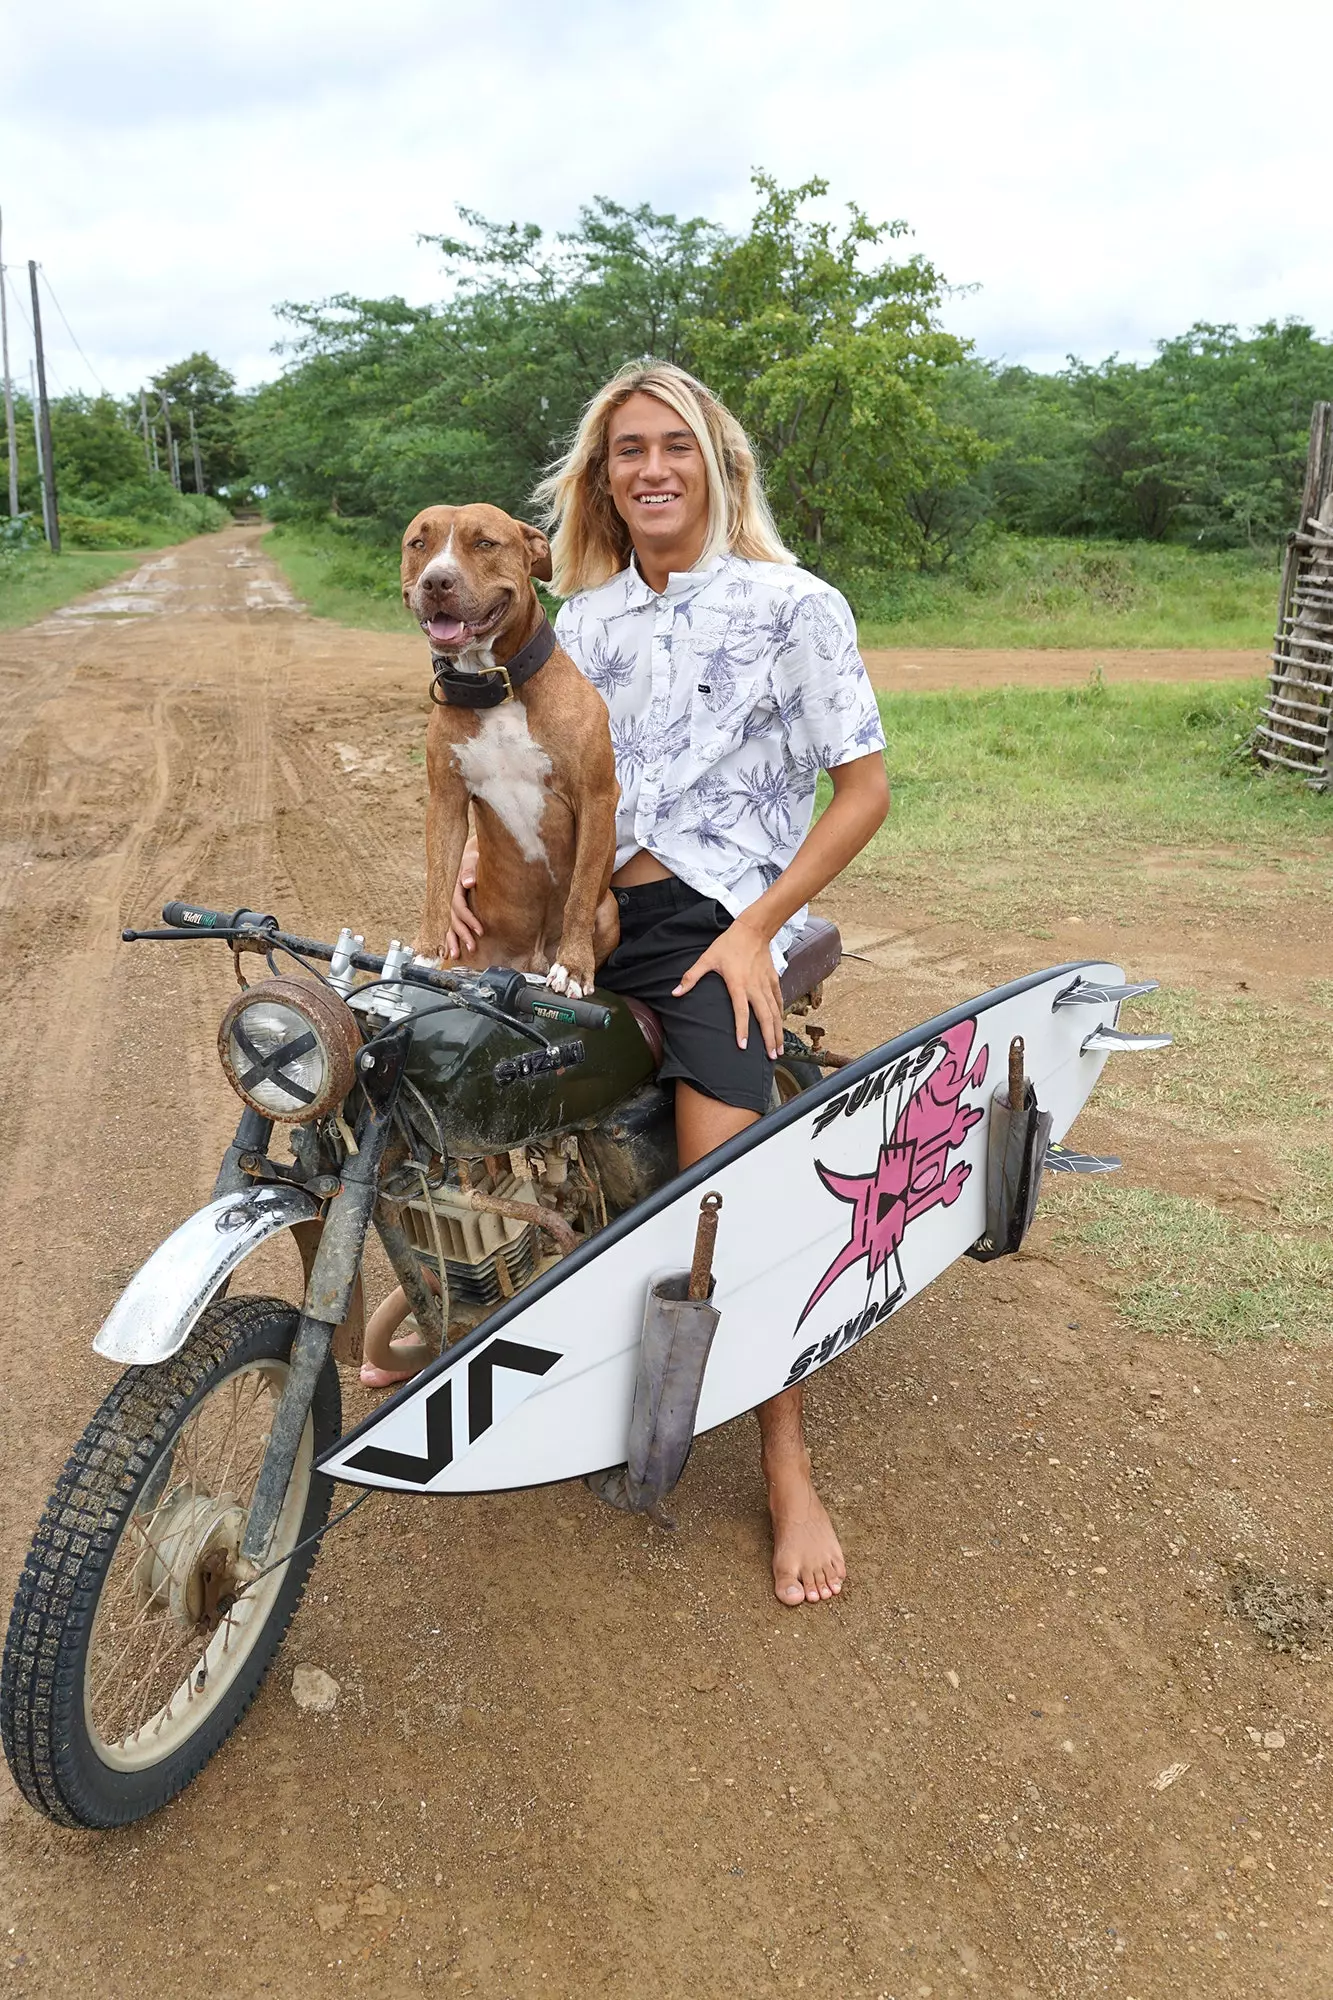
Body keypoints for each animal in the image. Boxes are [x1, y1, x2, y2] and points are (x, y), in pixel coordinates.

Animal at [400, 500, 616, 1000]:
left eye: (484, 542)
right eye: (418, 543)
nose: (436, 581)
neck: (494, 686)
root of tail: (527, 962)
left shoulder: (597, 798)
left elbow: (579, 893)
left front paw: (573, 967)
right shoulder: (446, 801)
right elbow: (438, 881)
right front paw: (423, 954)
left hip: (611, 907)